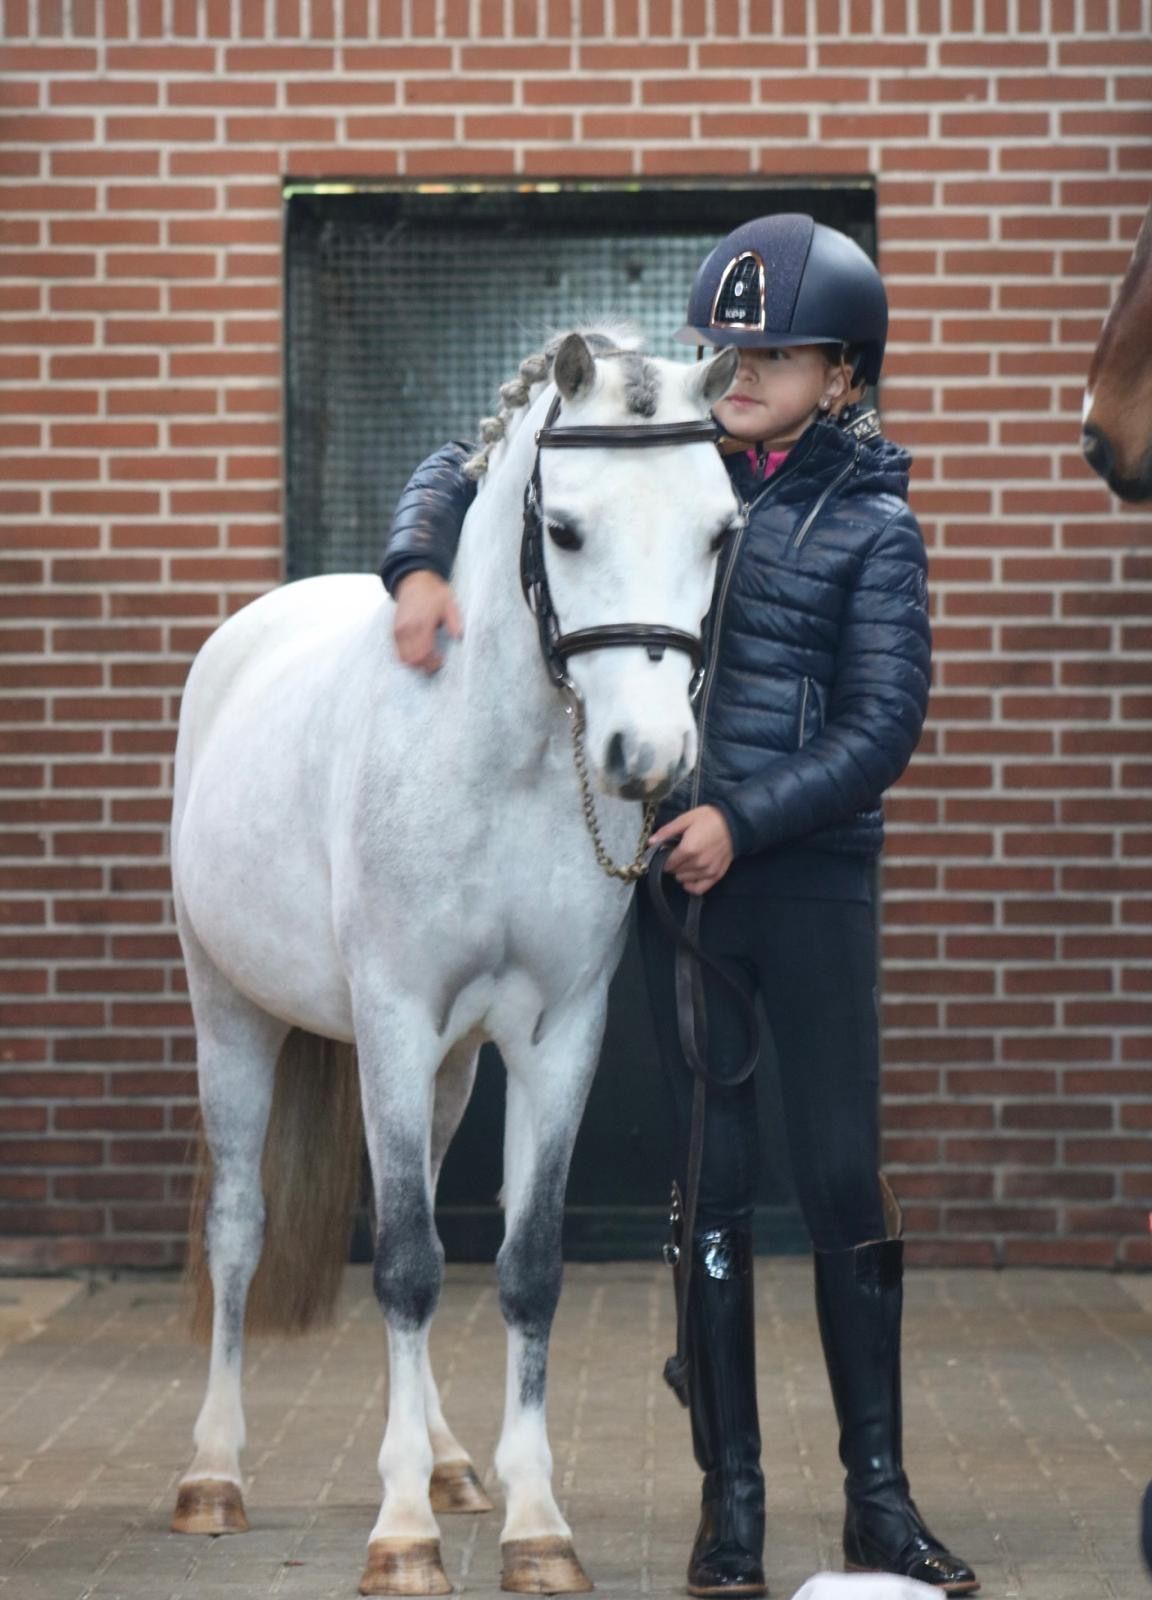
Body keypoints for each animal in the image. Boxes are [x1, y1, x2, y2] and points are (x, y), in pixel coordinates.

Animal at [168, 327, 741, 1597]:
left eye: (721, 527)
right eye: (565, 529)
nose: (647, 754)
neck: (502, 765)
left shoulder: (556, 1035)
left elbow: (521, 1263)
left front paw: (534, 1524)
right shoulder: (390, 1017)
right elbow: (406, 1267)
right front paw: (400, 1538)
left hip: (447, 1070)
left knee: (419, 1199)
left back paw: (443, 1464)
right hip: (232, 1012)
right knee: (240, 1228)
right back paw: (214, 1474)